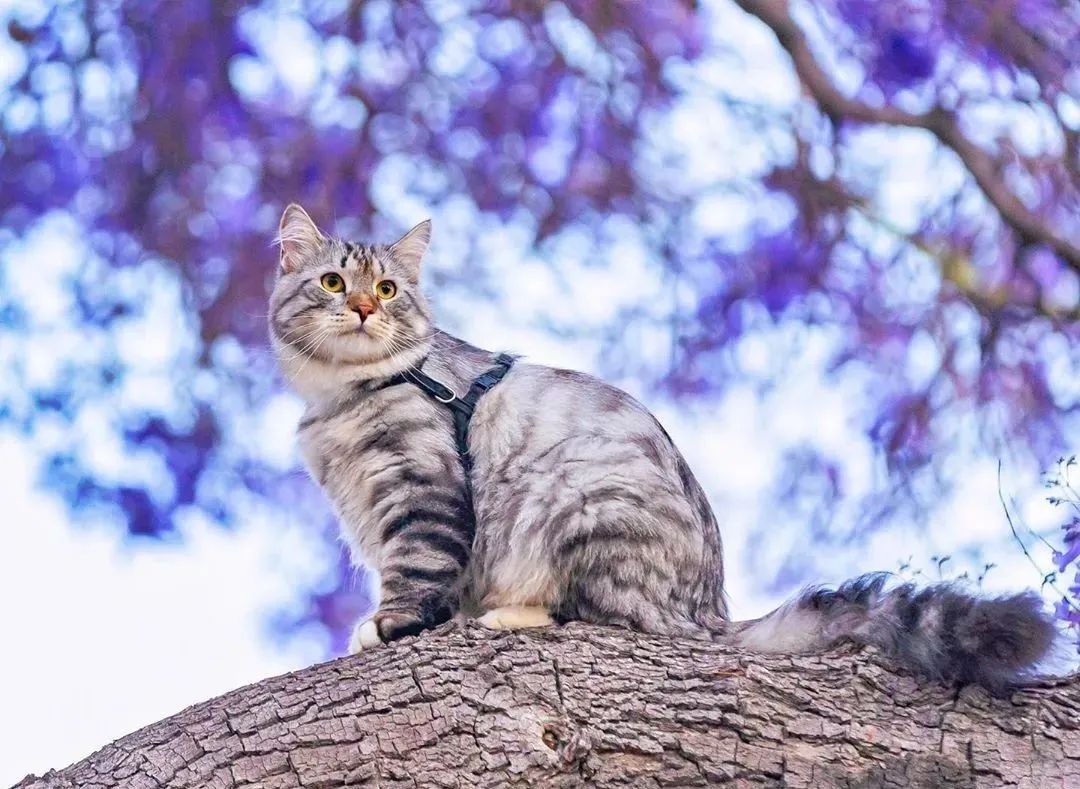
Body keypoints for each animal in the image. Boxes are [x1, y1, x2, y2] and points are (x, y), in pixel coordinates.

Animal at [270, 203, 1054, 690]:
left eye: (388, 289)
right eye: (334, 282)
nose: (362, 309)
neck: (343, 395)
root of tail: (710, 611)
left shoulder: (422, 489)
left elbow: (417, 570)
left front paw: (390, 626)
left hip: (575, 497)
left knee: (614, 622)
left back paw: (511, 614)